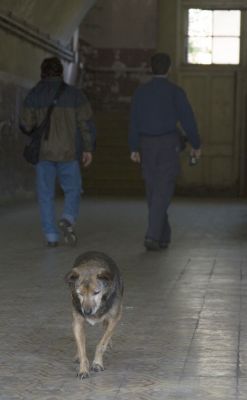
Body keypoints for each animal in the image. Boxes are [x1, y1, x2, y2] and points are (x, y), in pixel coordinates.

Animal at [65, 250, 123, 378]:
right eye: (79, 293)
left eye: (96, 292)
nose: (87, 312)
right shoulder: (77, 322)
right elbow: (82, 348)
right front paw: (83, 369)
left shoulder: (114, 319)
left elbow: (101, 344)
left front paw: (97, 363)